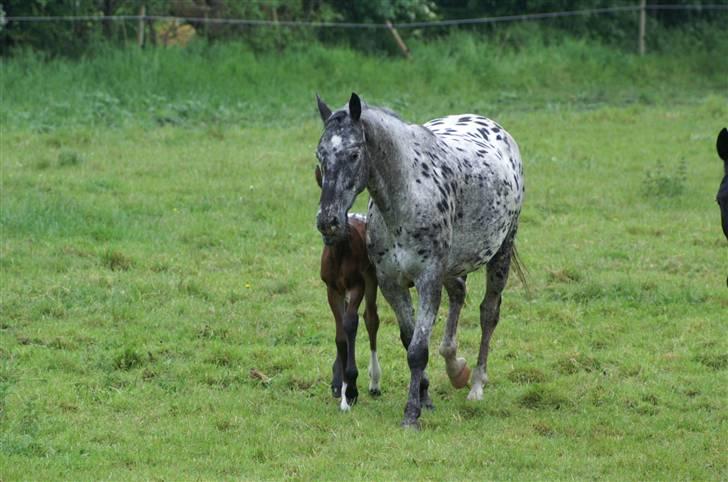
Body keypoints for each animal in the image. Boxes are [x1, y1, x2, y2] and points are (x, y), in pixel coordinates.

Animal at [318, 164, 384, 408]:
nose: (330, 228)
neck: (339, 255)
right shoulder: (331, 288)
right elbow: (340, 334)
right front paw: (341, 384)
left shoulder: (357, 284)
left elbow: (351, 324)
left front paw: (352, 388)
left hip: (372, 277)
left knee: (370, 318)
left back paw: (374, 382)